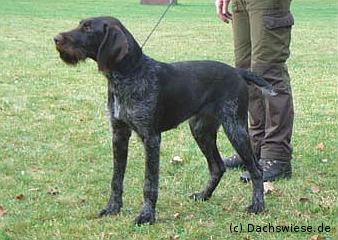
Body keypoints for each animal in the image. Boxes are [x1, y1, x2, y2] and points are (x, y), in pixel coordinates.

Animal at [53, 15, 274, 224]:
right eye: (81, 24)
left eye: (88, 28)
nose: (55, 38)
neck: (129, 75)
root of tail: (238, 72)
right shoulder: (119, 134)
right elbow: (116, 179)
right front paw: (112, 208)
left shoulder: (151, 138)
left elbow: (149, 183)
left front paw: (146, 215)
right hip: (200, 130)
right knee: (217, 167)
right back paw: (204, 195)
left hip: (235, 128)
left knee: (256, 169)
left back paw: (257, 206)